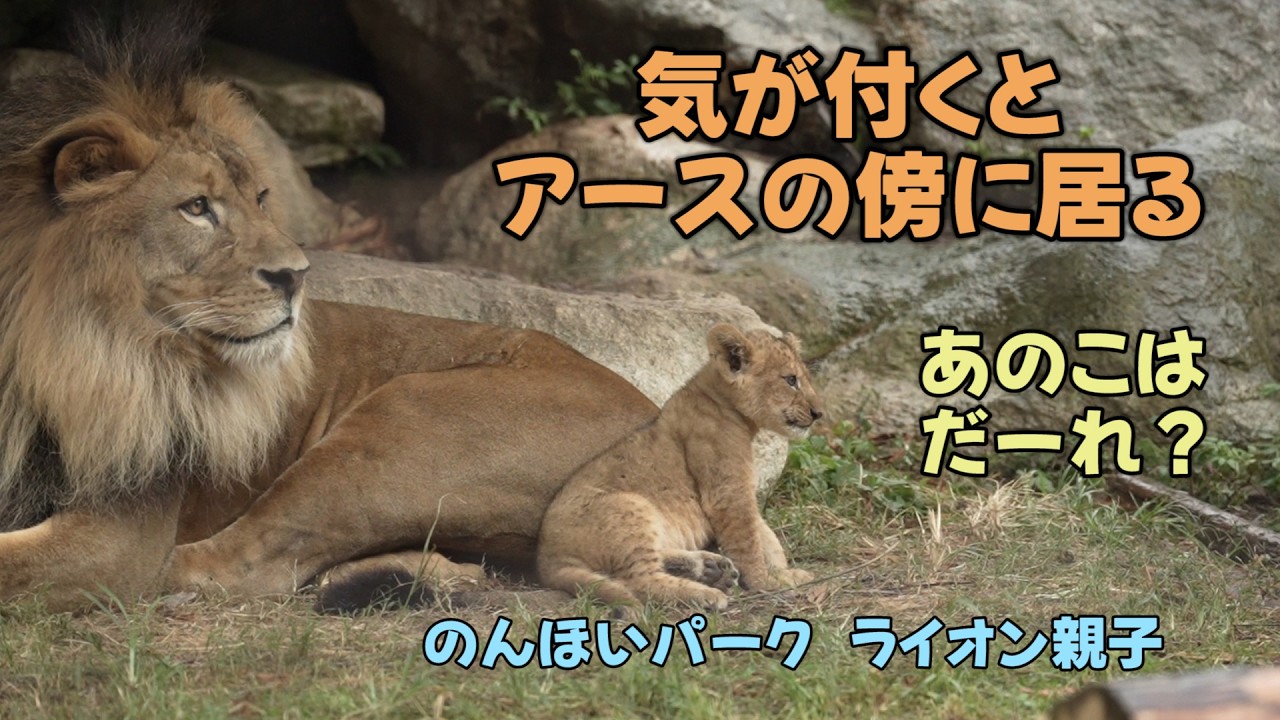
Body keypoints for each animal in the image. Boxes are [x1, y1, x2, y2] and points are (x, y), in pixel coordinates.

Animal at [0, 11, 657, 612]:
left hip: (402, 416)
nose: (296, 275)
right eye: (196, 207)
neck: (58, 352)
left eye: (261, 199)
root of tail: (656, 415)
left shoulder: (119, 533)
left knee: (237, 564)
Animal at [536, 323, 823, 612]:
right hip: (630, 505)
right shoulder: (727, 493)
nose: (818, 413)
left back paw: (710, 567)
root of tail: (546, 557)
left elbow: (765, 534)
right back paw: (706, 593)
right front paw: (766, 581)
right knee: (641, 582)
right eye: (790, 380)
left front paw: (785, 573)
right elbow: (748, 540)